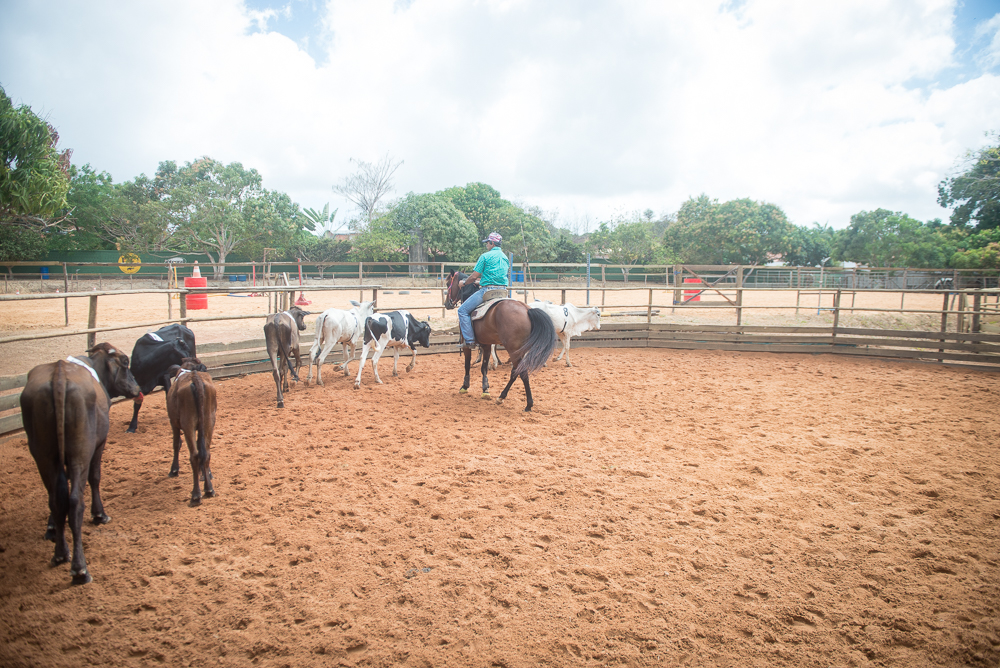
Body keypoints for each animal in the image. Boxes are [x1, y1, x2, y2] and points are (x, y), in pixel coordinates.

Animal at [20, 344, 141, 584]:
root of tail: (58, 376)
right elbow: (95, 478)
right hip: (81, 452)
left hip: (43, 454)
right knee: (75, 500)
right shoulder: (99, 445)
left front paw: (52, 527)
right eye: (125, 363)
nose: (137, 387)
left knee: (57, 498)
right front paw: (99, 514)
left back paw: (61, 554)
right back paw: (80, 569)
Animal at [165, 358, 216, 504]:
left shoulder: (174, 423)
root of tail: (195, 378)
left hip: (188, 423)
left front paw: (174, 470)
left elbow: (176, 444)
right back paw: (209, 488)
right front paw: (206, 474)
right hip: (208, 421)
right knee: (205, 453)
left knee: (195, 455)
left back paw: (196, 494)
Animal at [444, 270, 556, 408]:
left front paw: (464, 386)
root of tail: (527, 310)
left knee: (522, 372)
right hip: (521, 350)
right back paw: (501, 397)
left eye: (448, 283)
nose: (447, 304)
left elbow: (467, 365)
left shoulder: (466, 344)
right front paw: (485, 389)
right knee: (515, 372)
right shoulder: (486, 345)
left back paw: (528, 404)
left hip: (513, 350)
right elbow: (484, 367)